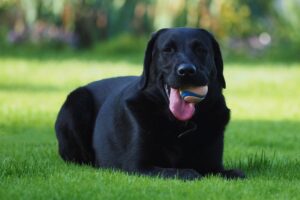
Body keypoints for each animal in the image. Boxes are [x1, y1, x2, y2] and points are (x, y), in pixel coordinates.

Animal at [55, 27, 245, 180]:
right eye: (167, 50)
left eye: (200, 50)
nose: (186, 71)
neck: (180, 125)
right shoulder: (138, 166)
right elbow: (179, 171)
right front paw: (190, 172)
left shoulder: (213, 165)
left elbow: (235, 173)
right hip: (77, 102)